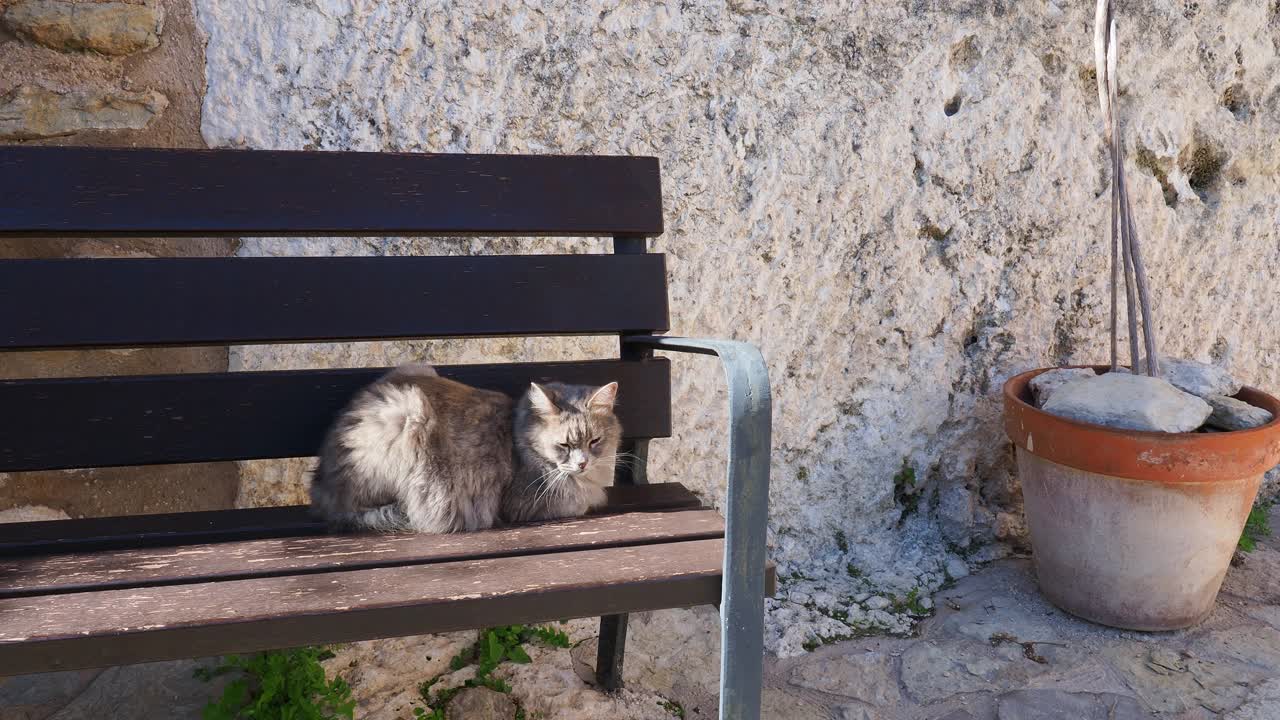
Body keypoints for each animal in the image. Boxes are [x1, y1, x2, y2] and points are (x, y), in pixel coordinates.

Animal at [309, 361, 619, 530]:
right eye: (564, 445)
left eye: (595, 441)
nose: (582, 463)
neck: (519, 434)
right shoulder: (525, 504)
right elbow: (584, 501)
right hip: (406, 412)